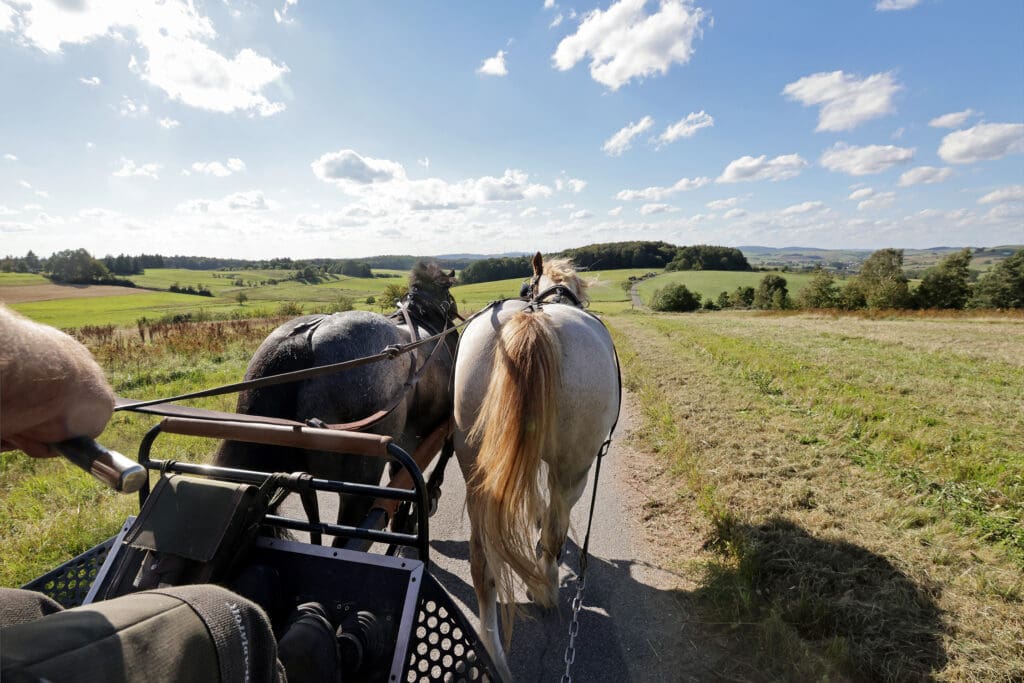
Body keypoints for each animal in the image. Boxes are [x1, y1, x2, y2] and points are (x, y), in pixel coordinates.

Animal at [454, 252, 614, 679]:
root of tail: (534, 320)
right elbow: (551, 521)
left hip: (474, 465)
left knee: (483, 562)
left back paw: (493, 652)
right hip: (574, 468)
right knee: (557, 529)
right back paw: (546, 589)